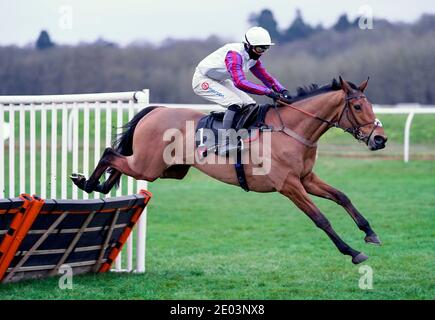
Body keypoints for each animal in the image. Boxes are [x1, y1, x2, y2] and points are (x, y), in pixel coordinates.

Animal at [70, 77, 388, 264]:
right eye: (357, 107)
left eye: (369, 104)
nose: (380, 139)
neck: (292, 130)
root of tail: (157, 109)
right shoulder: (289, 185)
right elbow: (321, 219)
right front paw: (352, 252)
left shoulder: (306, 179)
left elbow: (342, 197)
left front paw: (370, 233)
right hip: (149, 166)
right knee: (110, 154)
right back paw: (86, 182)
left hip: (165, 169)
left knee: (119, 162)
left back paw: (99, 186)